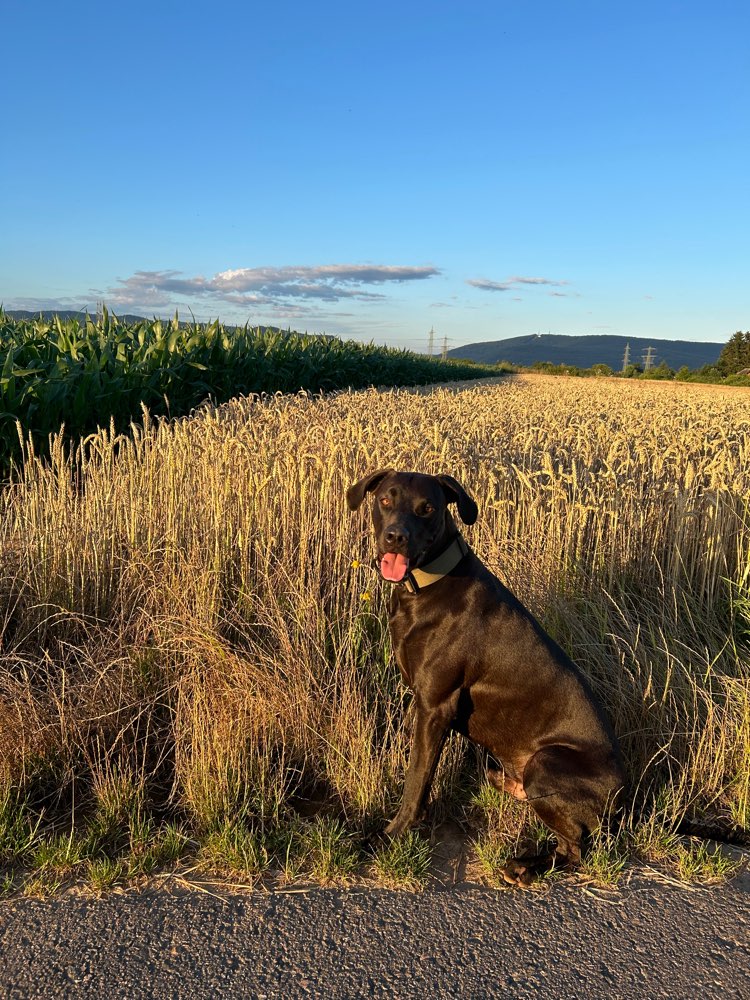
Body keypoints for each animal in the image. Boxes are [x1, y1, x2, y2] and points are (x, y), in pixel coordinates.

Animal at [350, 468, 624, 884]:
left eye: (427, 508)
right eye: (385, 499)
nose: (396, 536)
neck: (426, 585)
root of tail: (627, 797)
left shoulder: (435, 705)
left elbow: (416, 780)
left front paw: (390, 835)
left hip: (546, 763)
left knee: (577, 848)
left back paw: (525, 866)